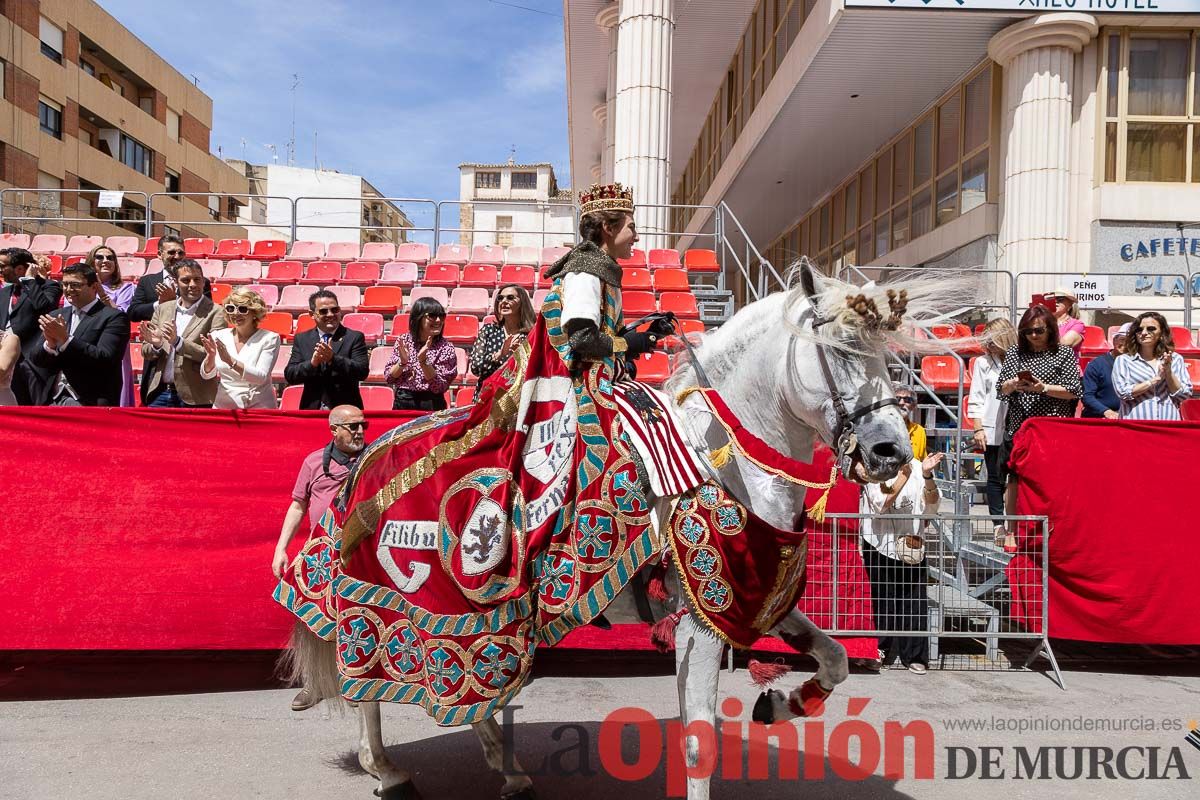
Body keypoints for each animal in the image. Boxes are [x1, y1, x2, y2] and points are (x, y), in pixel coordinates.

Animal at [292, 261, 964, 800]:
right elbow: (700, 743)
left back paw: (505, 770)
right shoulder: (700, 620)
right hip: (408, 606)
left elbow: (835, 660)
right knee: (368, 680)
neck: (721, 457)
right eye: (839, 348)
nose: (889, 453)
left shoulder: (758, 600)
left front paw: (782, 703)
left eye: (886, 357)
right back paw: (385, 769)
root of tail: (372, 448)